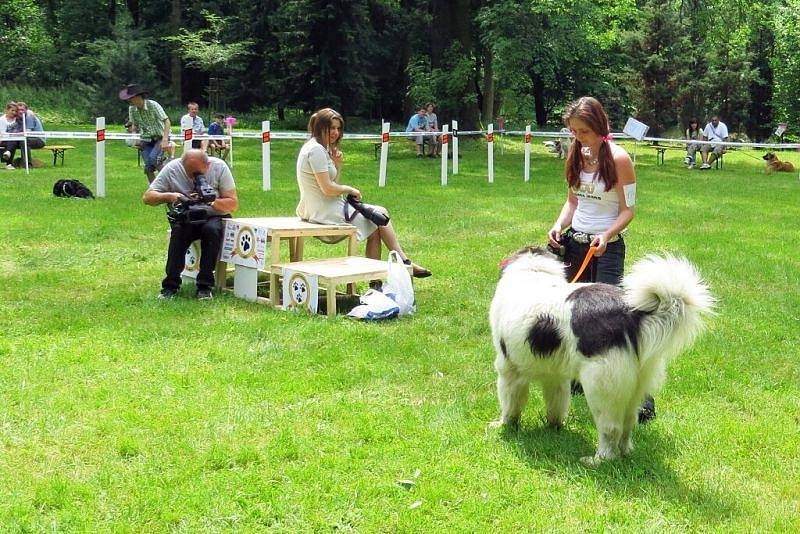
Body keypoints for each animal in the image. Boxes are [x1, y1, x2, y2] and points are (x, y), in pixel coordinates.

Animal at [490, 247, 716, 464]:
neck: (533, 271)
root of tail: (630, 312)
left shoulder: (508, 370)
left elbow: (510, 405)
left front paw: (503, 425)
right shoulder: (556, 378)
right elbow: (556, 405)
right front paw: (553, 428)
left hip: (600, 387)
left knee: (610, 429)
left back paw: (598, 460)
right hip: (636, 386)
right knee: (627, 424)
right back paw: (625, 453)